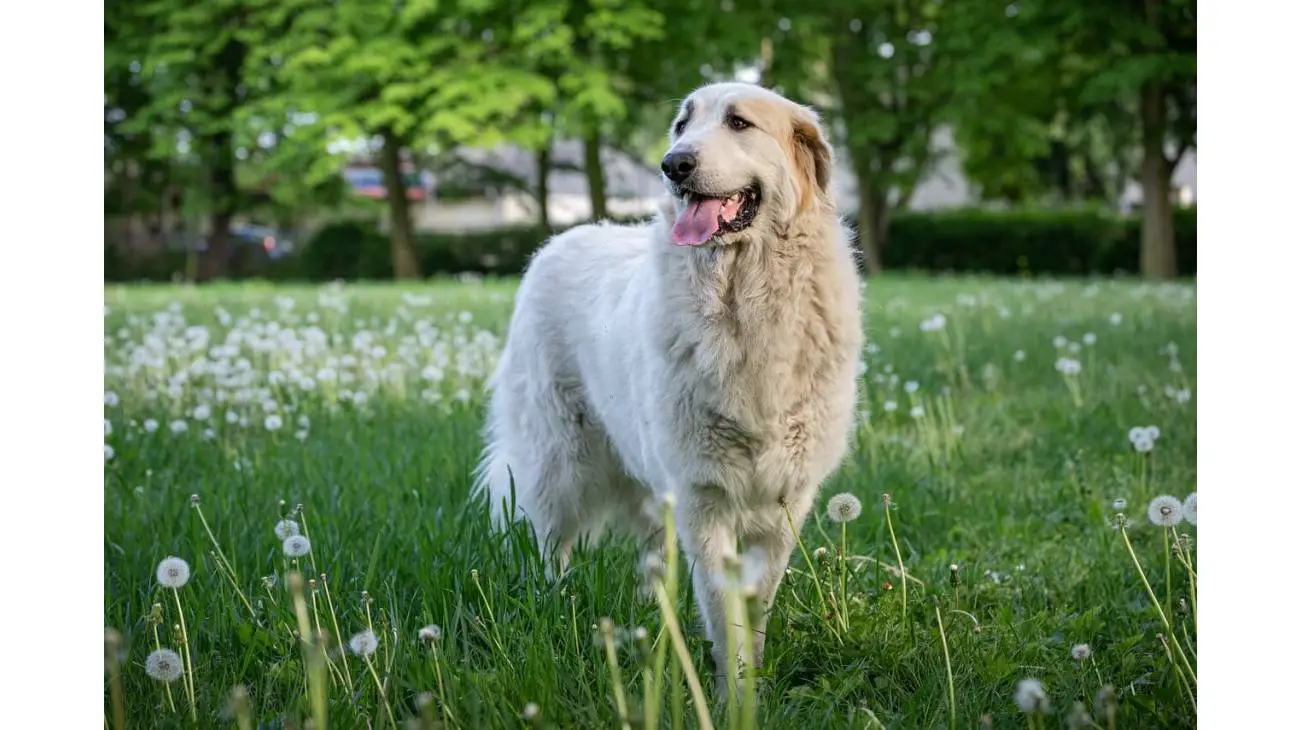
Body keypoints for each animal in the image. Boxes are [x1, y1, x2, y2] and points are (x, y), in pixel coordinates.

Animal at [478, 82, 863, 680]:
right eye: (683, 125)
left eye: (738, 123)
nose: (673, 164)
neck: (743, 297)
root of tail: (559, 241)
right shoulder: (704, 497)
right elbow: (723, 609)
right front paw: (733, 687)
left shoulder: (783, 504)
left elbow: (756, 605)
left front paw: (750, 681)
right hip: (558, 460)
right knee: (549, 541)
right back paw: (555, 606)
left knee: (649, 550)